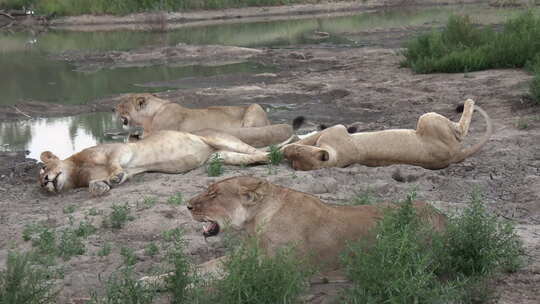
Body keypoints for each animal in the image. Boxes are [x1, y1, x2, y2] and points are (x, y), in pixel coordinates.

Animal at [38, 129, 270, 196]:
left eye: (43, 168)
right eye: (39, 183)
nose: (45, 182)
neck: (77, 171)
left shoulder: (120, 149)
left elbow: (114, 163)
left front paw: (114, 175)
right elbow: (95, 185)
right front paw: (102, 187)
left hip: (220, 140)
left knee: (259, 150)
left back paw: (274, 155)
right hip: (222, 156)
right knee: (252, 157)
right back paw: (260, 162)